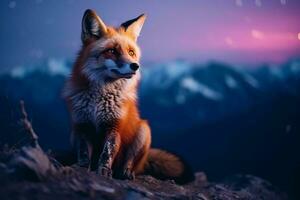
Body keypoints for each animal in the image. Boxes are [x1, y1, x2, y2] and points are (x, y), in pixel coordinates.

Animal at [63, 9, 195, 184]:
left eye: (131, 52)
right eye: (112, 51)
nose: (135, 66)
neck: (100, 98)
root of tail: (144, 161)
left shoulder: (114, 126)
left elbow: (107, 153)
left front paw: (104, 171)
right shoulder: (82, 125)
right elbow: (84, 153)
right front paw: (83, 167)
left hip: (143, 130)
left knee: (130, 162)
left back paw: (126, 172)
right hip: (73, 133)